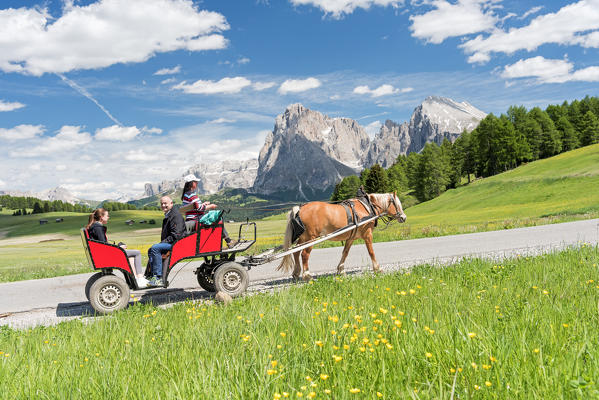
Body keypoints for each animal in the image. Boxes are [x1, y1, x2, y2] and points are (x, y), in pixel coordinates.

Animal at [276, 191, 408, 280]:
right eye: (397, 204)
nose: (403, 217)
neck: (367, 207)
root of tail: (300, 209)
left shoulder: (351, 237)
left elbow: (345, 252)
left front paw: (341, 269)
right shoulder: (367, 234)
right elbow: (371, 252)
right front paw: (377, 268)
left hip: (304, 237)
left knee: (296, 252)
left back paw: (296, 273)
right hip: (310, 237)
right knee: (304, 254)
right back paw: (307, 275)